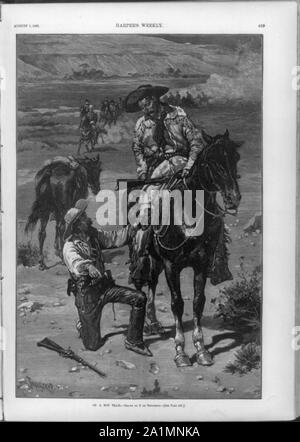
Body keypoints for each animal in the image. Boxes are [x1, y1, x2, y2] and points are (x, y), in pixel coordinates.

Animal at [132, 129, 243, 368]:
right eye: (213, 162)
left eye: (235, 158)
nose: (233, 198)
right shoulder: (171, 266)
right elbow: (177, 304)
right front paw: (180, 352)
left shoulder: (201, 264)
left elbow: (198, 303)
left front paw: (201, 350)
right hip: (146, 256)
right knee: (141, 283)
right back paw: (144, 326)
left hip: (156, 260)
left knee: (152, 283)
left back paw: (153, 322)